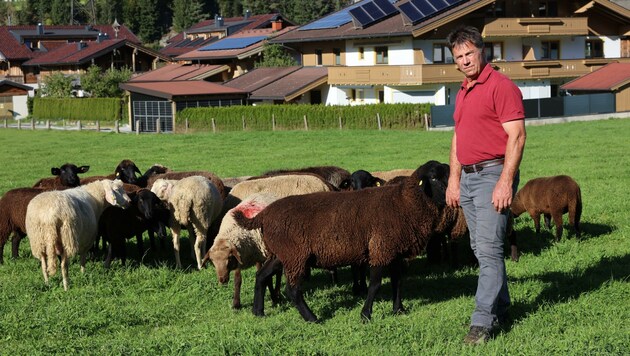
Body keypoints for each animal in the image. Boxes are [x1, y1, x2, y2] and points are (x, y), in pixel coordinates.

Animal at [233, 160, 450, 322]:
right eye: (433, 178)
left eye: (450, 175)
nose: (451, 197)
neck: (405, 203)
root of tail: (264, 214)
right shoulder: (380, 248)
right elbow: (375, 285)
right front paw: (365, 315)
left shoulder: (394, 251)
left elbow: (397, 282)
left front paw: (399, 310)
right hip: (295, 256)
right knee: (292, 289)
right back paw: (312, 318)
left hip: (281, 254)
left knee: (261, 276)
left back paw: (258, 312)